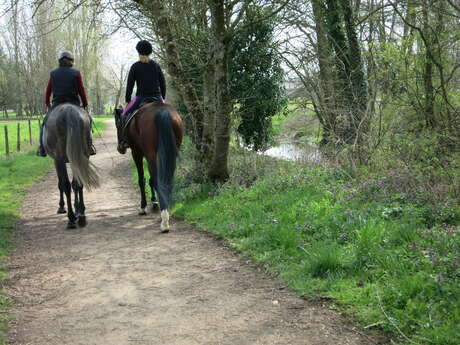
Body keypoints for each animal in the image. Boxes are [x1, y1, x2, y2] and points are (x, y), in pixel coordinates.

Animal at [113, 101, 181, 231]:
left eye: (118, 124)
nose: (120, 148)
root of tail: (162, 111)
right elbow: (150, 180)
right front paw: (154, 202)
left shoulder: (137, 154)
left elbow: (142, 180)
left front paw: (143, 207)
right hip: (170, 153)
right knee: (166, 179)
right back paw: (165, 209)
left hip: (150, 154)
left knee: (156, 179)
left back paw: (164, 219)